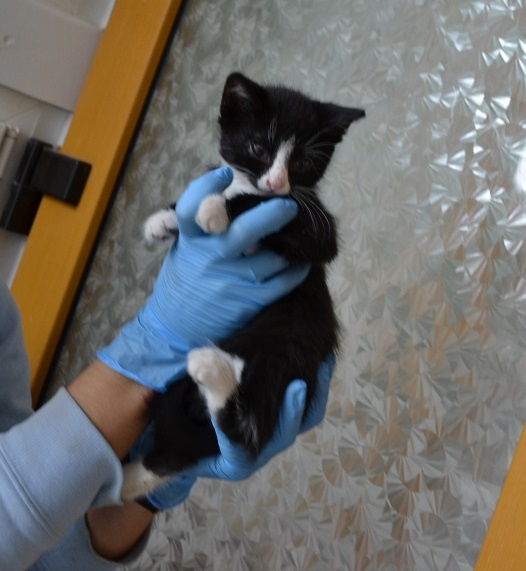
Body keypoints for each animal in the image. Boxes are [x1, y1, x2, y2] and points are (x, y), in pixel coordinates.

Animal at [121, 73, 365, 501]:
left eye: (302, 162)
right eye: (258, 148)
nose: (276, 182)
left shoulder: (318, 230)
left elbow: (261, 206)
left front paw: (214, 209)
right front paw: (165, 219)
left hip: (282, 356)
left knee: (248, 432)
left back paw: (213, 370)